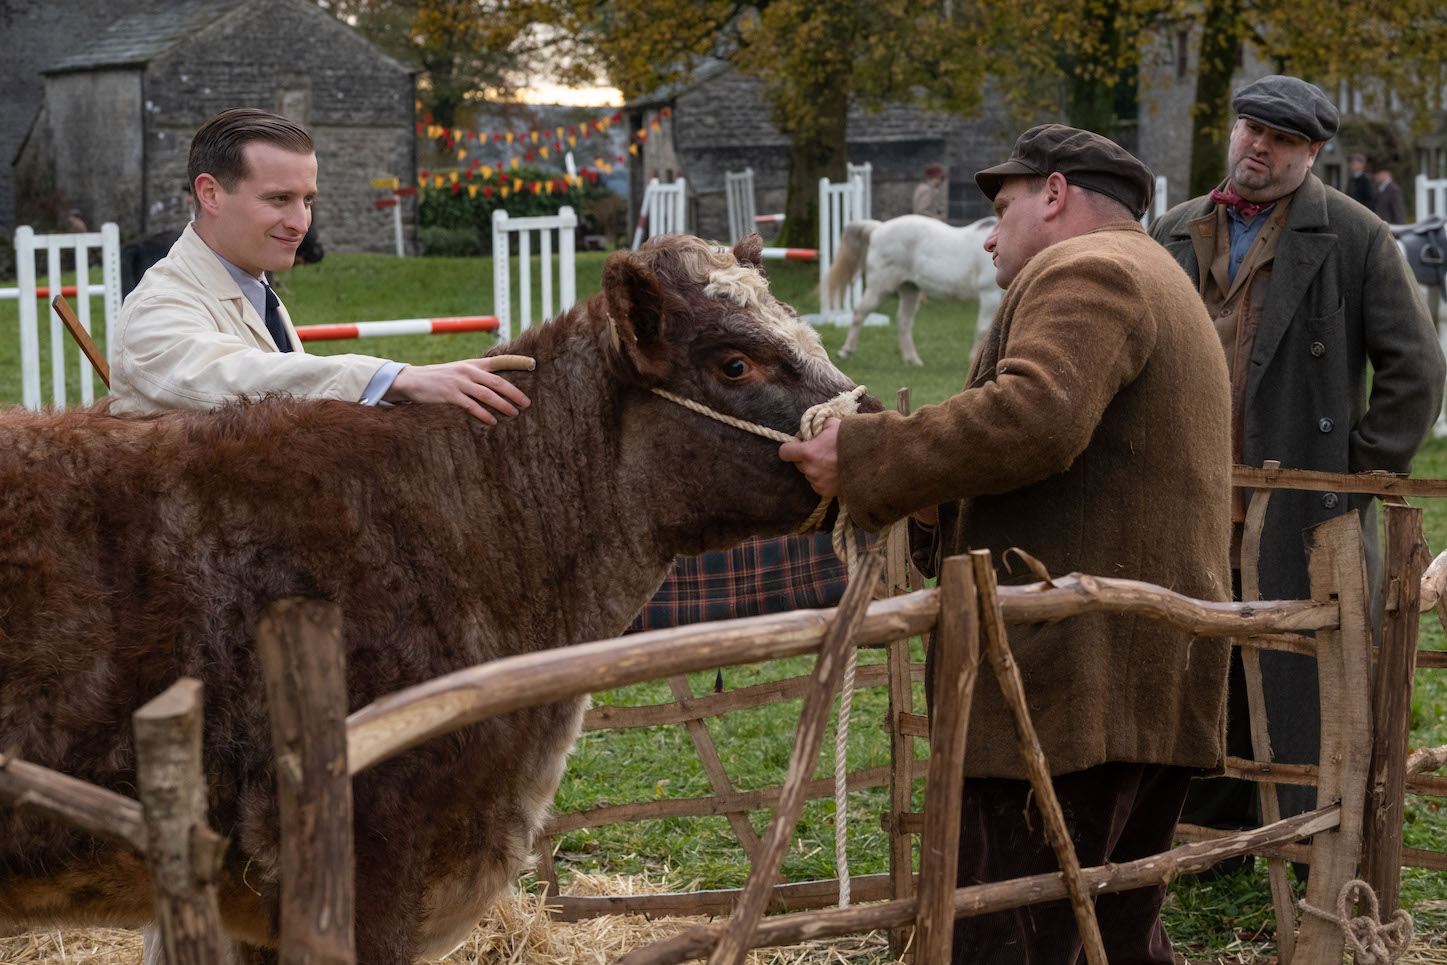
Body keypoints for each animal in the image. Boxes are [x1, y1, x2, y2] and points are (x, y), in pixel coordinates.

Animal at [833, 215, 1001, 366]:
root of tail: (879, 228)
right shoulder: (989, 295)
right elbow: (983, 330)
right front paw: (974, 359)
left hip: (909, 288)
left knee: (904, 321)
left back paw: (912, 359)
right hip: (879, 286)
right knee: (860, 313)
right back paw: (846, 351)